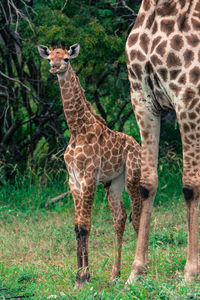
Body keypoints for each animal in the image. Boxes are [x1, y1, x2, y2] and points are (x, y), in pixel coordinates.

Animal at [37, 42, 141, 288]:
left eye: (66, 59)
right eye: (49, 59)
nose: (54, 68)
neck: (77, 129)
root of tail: (138, 146)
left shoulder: (89, 177)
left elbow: (85, 226)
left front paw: (84, 277)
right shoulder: (73, 180)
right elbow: (77, 227)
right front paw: (79, 276)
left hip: (132, 177)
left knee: (137, 216)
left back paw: (139, 273)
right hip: (114, 182)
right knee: (120, 218)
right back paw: (114, 275)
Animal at [126, 0, 199, 284]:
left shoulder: (188, 98)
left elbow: (190, 186)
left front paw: (190, 272)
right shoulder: (143, 99)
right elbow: (146, 184)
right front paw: (136, 270)